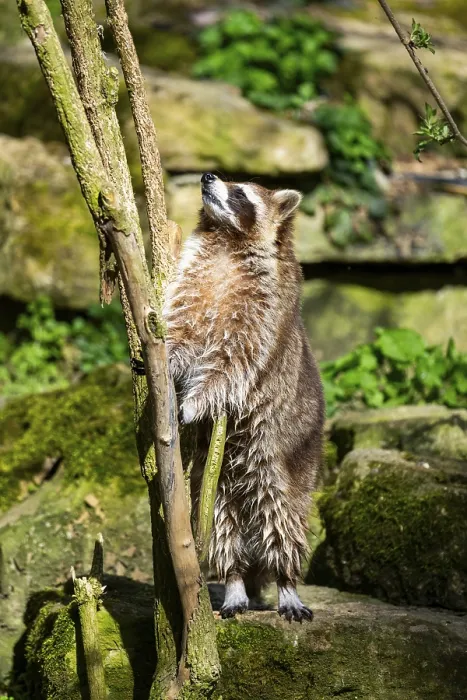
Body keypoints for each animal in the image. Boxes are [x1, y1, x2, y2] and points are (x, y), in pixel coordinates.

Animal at [164, 172, 325, 621]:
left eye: (241, 193)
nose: (206, 177)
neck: (227, 242)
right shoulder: (193, 283)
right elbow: (180, 331)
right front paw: (163, 358)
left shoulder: (263, 311)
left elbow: (233, 365)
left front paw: (196, 400)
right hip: (215, 478)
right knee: (223, 524)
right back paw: (234, 580)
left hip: (290, 458)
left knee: (281, 516)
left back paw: (286, 581)